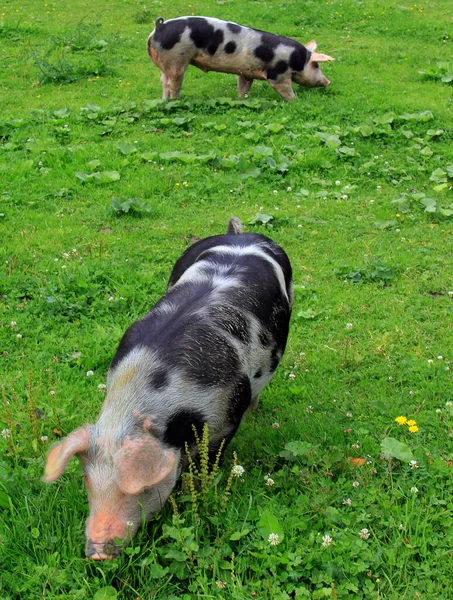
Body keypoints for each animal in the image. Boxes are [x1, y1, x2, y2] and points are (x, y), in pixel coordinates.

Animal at [43, 218, 294, 560]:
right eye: (88, 483)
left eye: (140, 488)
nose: (97, 552)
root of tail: (242, 236)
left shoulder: (226, 416)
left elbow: (210, 460)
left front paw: (201, 487)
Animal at [147, 15, 334, 102]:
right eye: (316, 65)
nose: (328, 81)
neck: (296, 60)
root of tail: (159, 27)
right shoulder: (278, 74)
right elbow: (285, 90)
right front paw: (295, 101)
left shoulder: (246, 72)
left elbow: (244, 87)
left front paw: (241, 100)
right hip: (176, 60)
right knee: (173, 84)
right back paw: (175, 101)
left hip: (164, 63)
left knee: (163, 81)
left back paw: (164, 100)